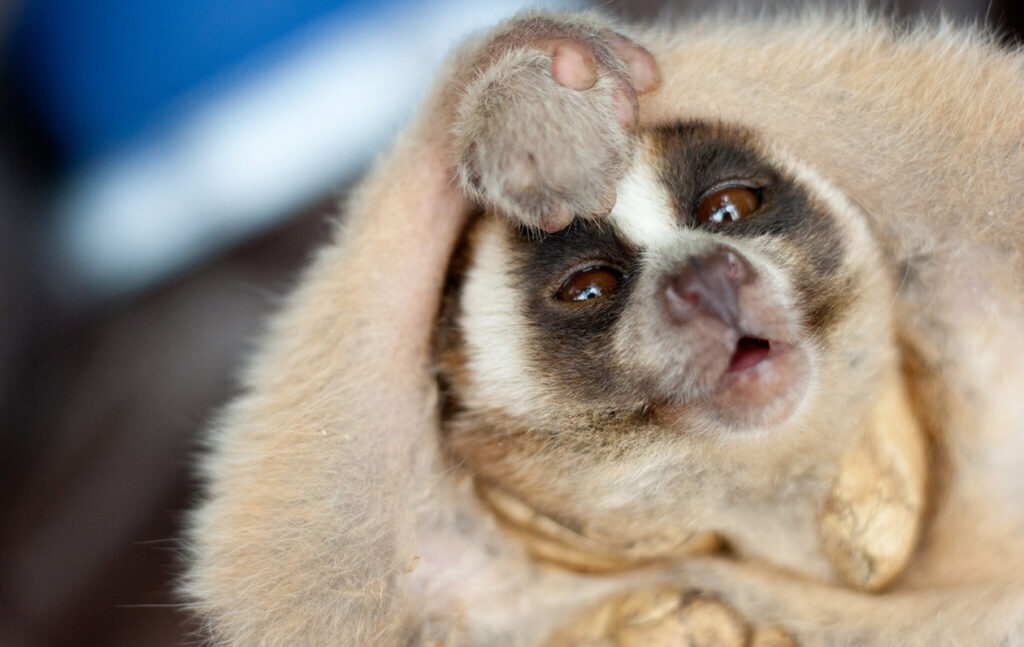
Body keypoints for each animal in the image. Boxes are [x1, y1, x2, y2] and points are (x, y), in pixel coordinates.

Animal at [184, 9, 1024, 646]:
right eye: (590, 287)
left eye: (729, 210)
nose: (706, 275)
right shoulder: (462, 578)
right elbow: (312, 573)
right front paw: (522, 84)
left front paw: (540, 86)